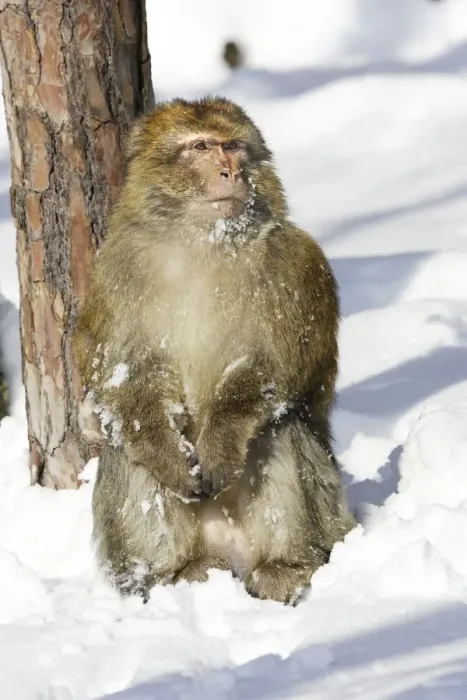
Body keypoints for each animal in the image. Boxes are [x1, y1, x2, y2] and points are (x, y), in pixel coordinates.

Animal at [74, 96, 355, 605]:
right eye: (201, 147)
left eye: (233, 146)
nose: (231, 171)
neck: (204, 243)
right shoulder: (115, 270)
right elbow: (125, 376)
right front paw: (166, 453)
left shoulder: (295, 264)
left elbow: (271, 368)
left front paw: (221, 443)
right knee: (124, 444)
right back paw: (168, 574)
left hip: (323, 519)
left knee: (278, 426)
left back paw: (288, 567)